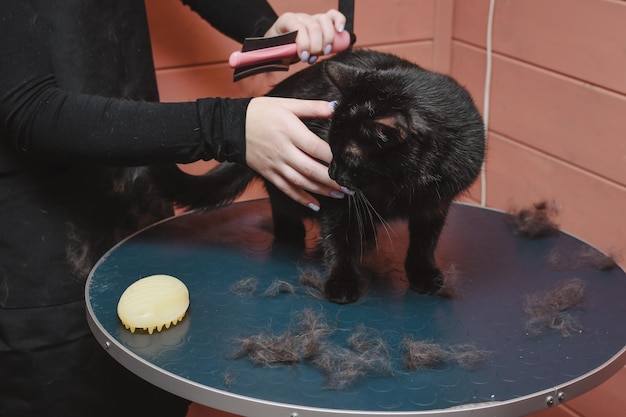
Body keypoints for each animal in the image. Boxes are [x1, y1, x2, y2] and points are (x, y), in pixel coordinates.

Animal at [150, 49, 482, 302]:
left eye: (348, 156)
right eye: (329, 147)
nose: (331, 172)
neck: (398, 187)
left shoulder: (435, 203)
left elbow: (425, 242)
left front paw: (423, 274)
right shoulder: (336, 202)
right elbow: (338, 236)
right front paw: (342, 282)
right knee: (281, 204)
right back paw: (292, 232)